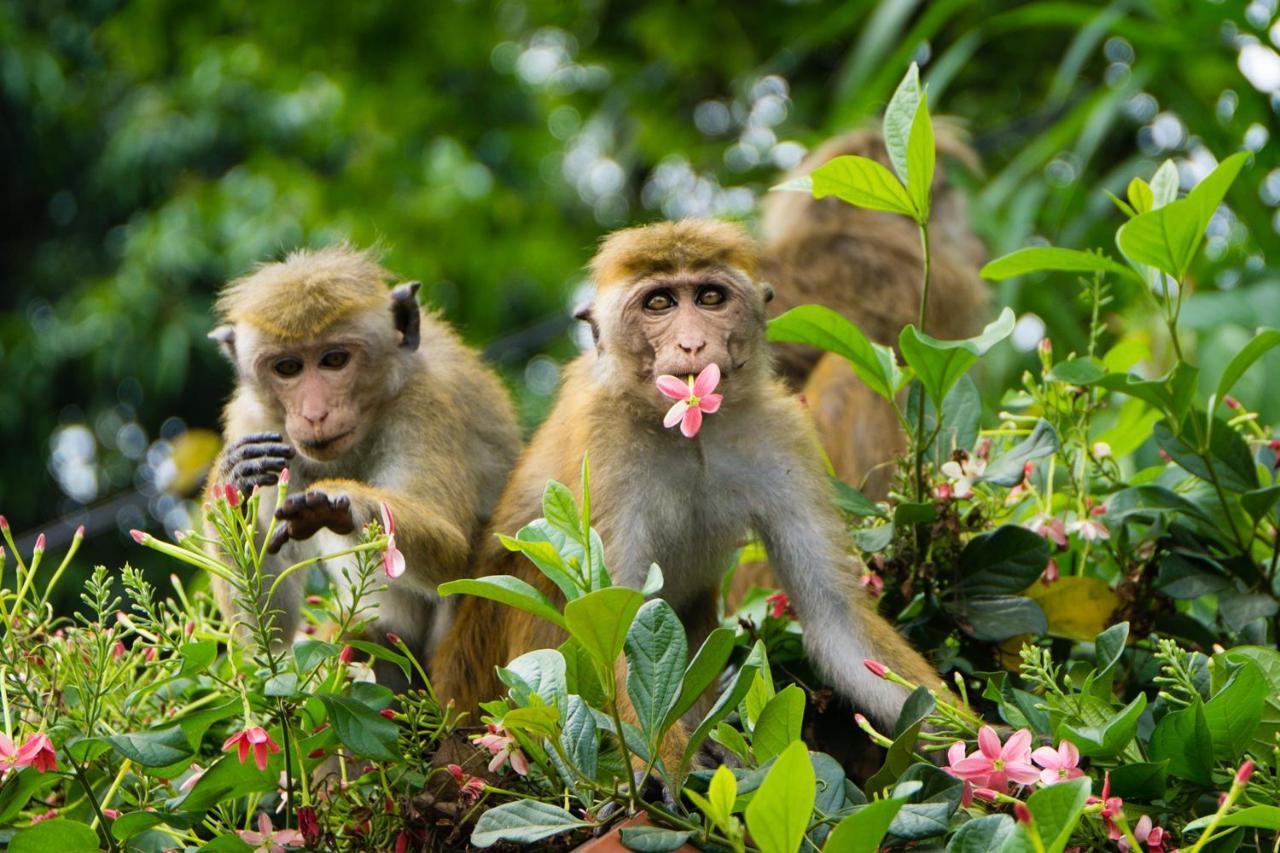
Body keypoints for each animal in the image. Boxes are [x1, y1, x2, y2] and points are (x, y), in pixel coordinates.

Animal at [204, 244, 519, 686]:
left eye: (334, 360)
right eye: (288, 368)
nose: (315, 414)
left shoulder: (424, 402)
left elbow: (452, 553)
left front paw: (340, 503)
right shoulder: (253, 424)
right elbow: (272, 630)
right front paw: (234, 480)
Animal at [435, 220, 947, 753]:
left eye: (710, 297)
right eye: (659, 303)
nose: (692, 345)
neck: (688, 432)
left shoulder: (783, 434)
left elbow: (836, 621)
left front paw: (969, 738)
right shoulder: (602, 448)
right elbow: (608, 624)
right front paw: (663, 768)